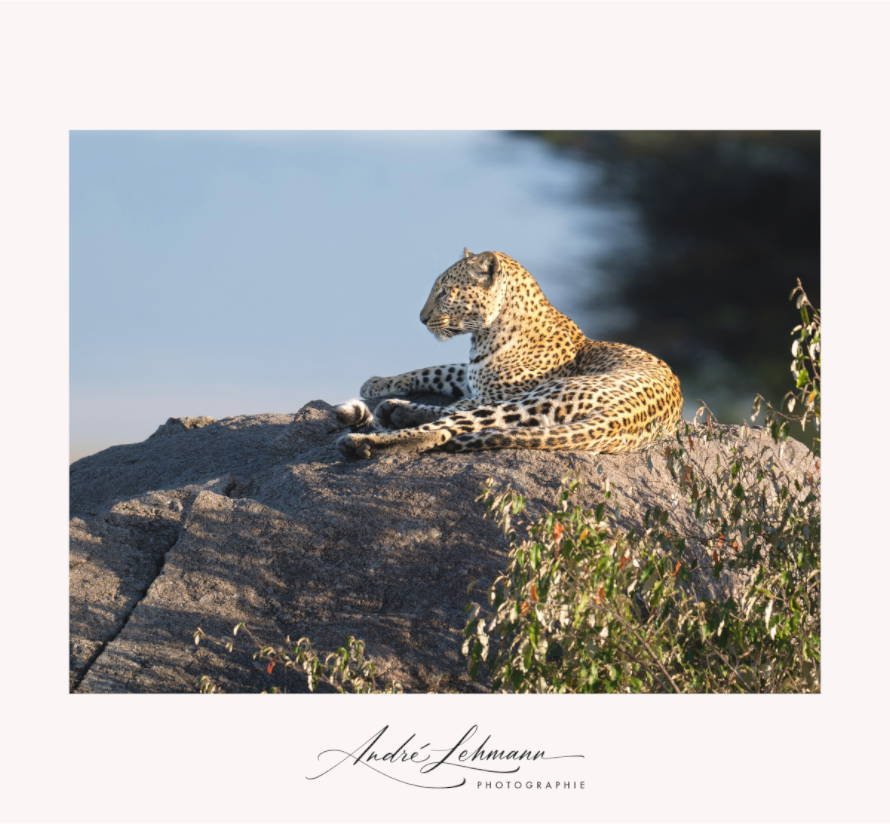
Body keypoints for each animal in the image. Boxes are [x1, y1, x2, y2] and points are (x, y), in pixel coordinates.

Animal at [335, 249, 683, 460]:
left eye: (445, 292)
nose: (421, 318)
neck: (484, 333)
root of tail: (623, 419)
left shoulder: (495, 391)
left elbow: (454, 403)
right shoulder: (472, 374)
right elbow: (435, 370)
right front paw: (377, 383)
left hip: (539, 399)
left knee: (448, 428)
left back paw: (364, 441)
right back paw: (393, 410)